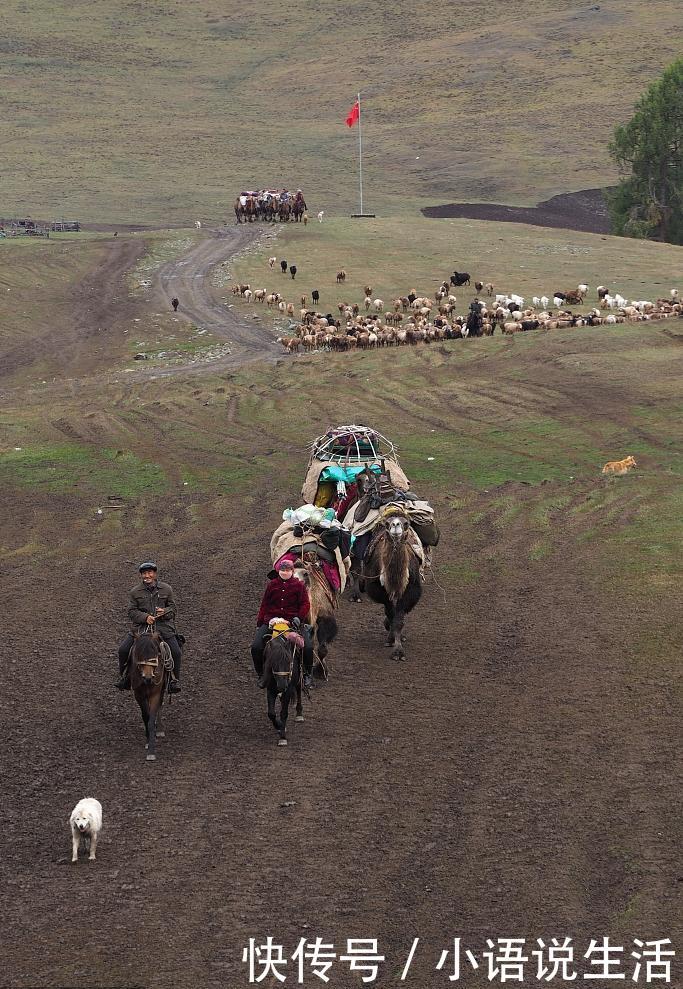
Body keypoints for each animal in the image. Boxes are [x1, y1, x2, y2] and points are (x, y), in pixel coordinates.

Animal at [130, 628, 170, 760]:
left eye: (155, 653)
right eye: (138, 653)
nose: (148, 678)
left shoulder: (155, 694)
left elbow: (151, 719)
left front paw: (151, 751)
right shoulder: (139, 694)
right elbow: (146, 716)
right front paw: (148, 741)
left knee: (160, 705)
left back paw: (160, 729)